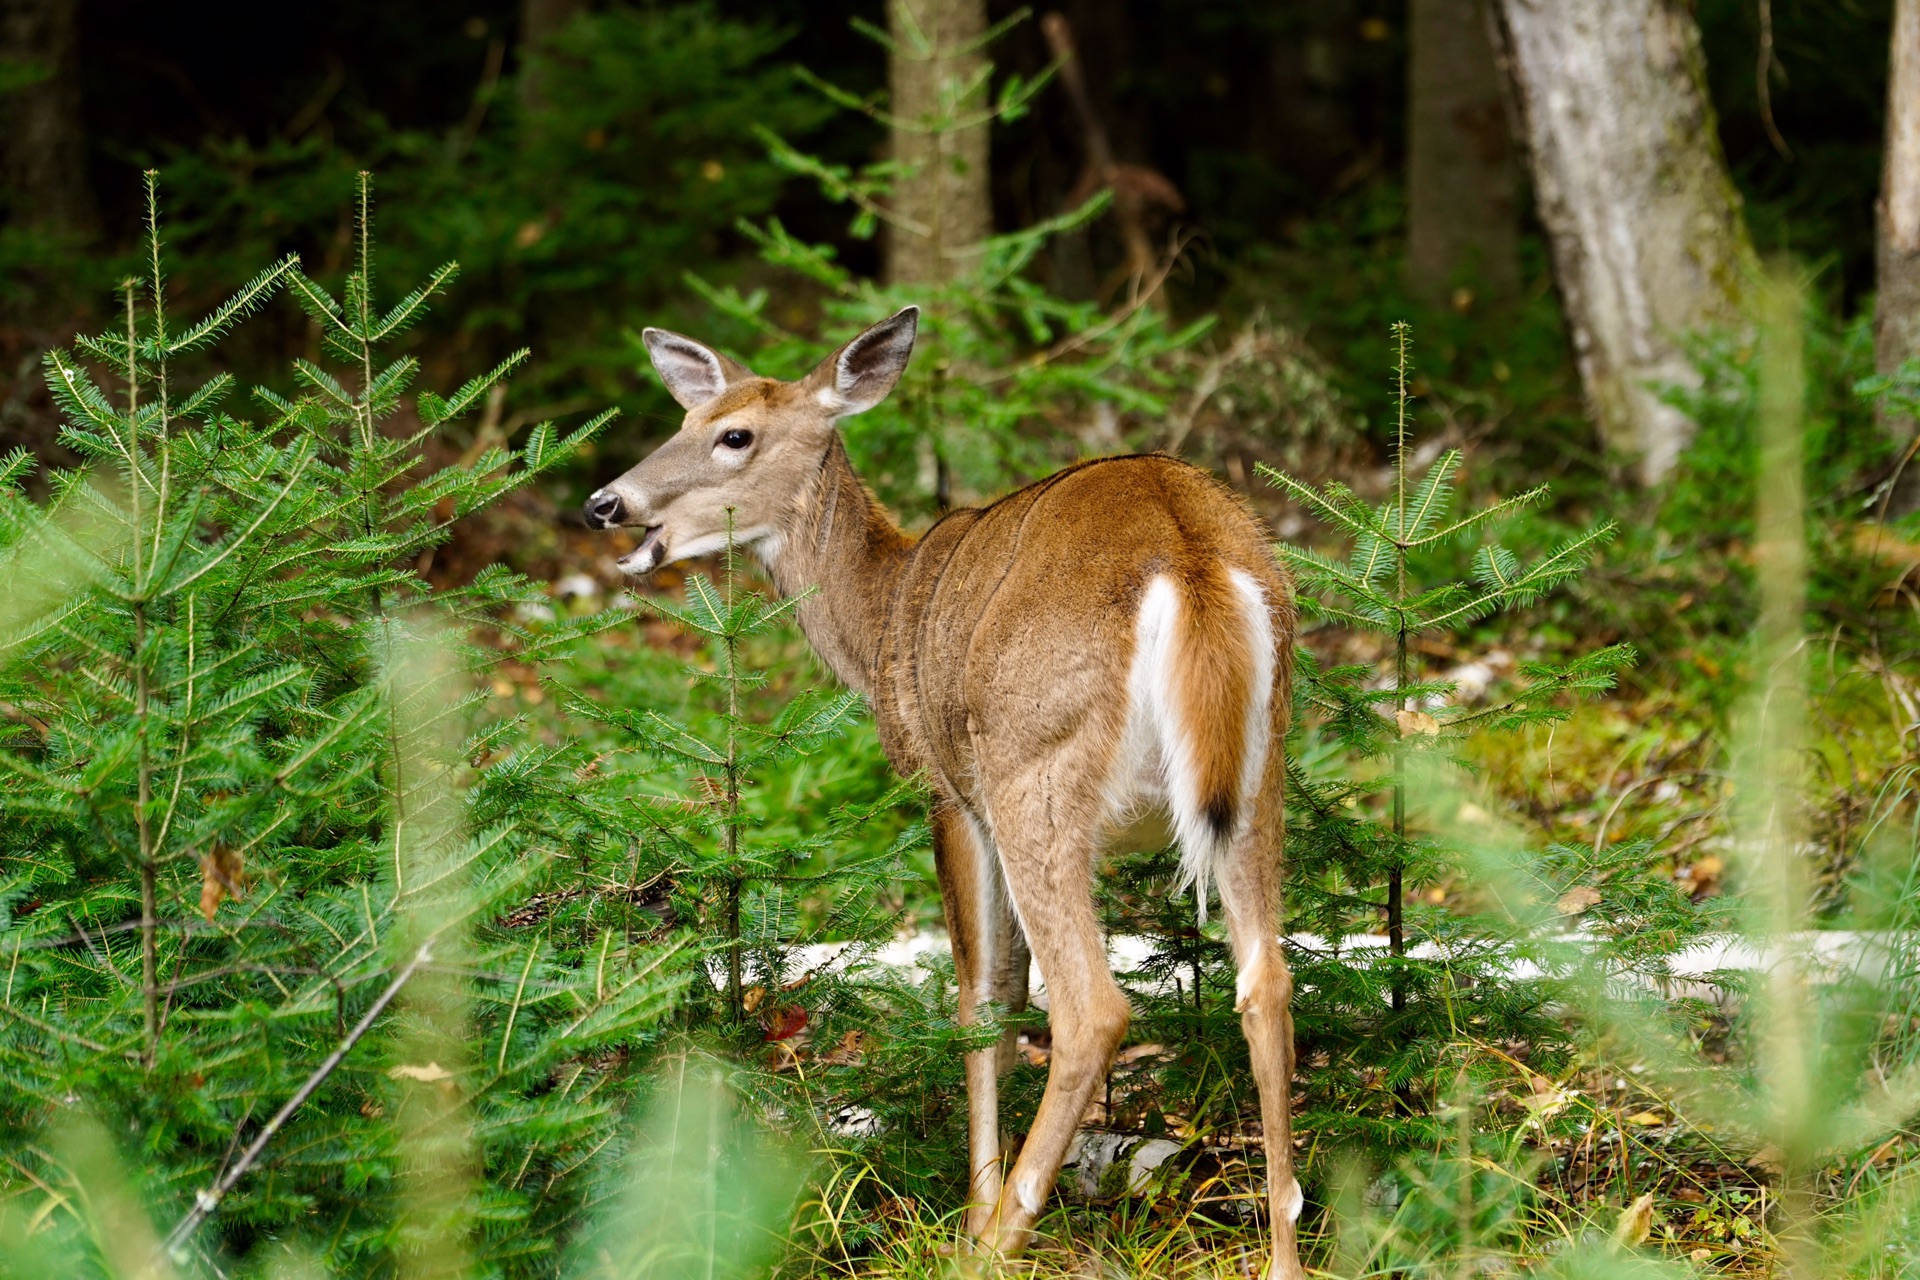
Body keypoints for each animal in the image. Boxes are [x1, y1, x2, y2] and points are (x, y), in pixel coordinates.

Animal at [583, 307, 1305, 1274]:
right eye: (684, 419)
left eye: (734, 435)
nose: (606, 503)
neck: (884, 614)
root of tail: (1189, 557)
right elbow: (1002, 990)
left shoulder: (946, 791)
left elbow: (982, 995)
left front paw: (973, 1209)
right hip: (1260, 775)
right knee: (1266, 980)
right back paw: (1283, 1255)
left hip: (1033, 770)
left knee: (1091, 1007)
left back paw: (999, 1239)